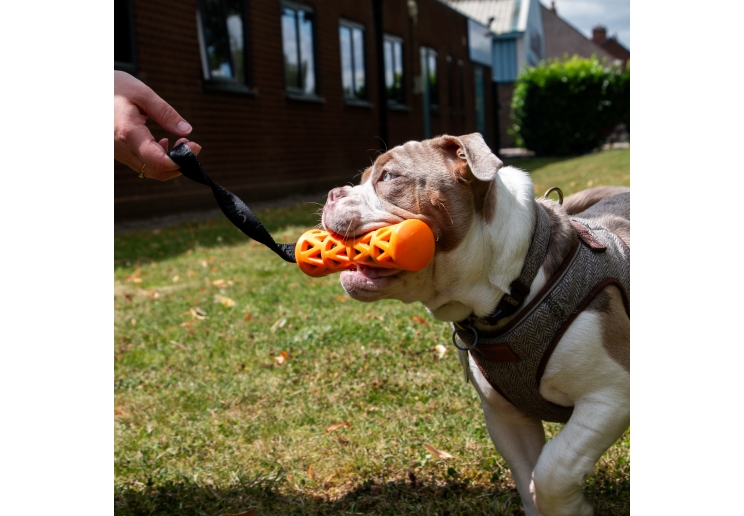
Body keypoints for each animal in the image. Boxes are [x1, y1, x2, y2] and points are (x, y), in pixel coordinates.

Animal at [322, 133, 632, 516]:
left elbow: (552, 471)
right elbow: (529, 480)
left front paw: (571, 509)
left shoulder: (610, 396)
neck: (515, 286)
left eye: (389, 176)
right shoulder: (507, 419)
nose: (332, 192)